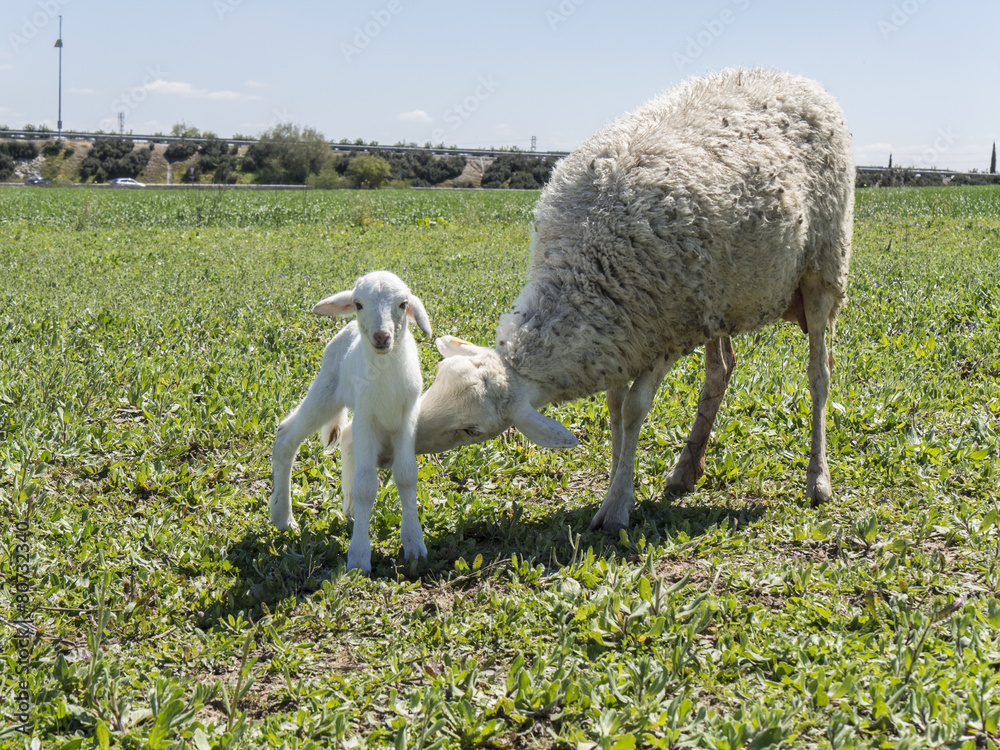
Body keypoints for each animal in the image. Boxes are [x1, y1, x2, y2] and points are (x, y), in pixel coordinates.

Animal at [269, 271, 432, 575]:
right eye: (358, 304)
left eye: (403, 304)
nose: (382, 336)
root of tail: (348, 330)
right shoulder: (367, 415)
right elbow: (366, 485)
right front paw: (358, 558)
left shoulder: (407, 418)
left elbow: (406, 475)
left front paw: (415, 545)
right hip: (327, 390)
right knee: (286, 435)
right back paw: (282, 517)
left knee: (345, 436)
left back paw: (351, 509)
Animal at [414, 69, 854, 532]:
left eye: (472, 430)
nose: (401, 443)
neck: (586, 267)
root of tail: (795, 77)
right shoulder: (620, 336)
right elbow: (613, 409)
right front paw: (615, 480)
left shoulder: (663, 335)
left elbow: (632, 411)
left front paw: (617, 505)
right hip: (717, 297)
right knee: (721, 369)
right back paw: (685, 470)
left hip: (823, 268)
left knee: (820, 373)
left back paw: (817, 479)